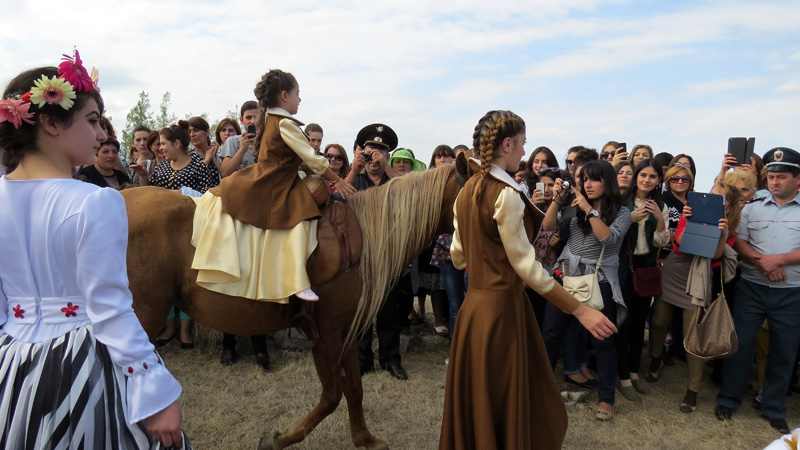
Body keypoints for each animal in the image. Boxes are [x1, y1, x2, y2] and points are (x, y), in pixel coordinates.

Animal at [123, 165, 462, 450]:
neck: (363, 238)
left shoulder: (346, 333)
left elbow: (354, 387)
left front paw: (365, 439)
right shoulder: (325, 335)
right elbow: (332, 396)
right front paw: (278, 439)